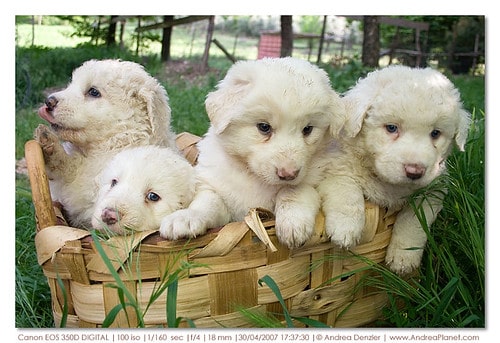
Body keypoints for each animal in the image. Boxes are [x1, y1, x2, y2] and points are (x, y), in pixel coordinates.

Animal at [34, 60, 177, 230]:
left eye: (93, 92)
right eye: (71, 83)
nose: (48, 101)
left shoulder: (89, 195)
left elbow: (72, 172)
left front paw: (51, 148)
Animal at [158, 57, 346, 249]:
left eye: (308, 129)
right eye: (264, 127)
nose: (288, 174)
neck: (254, 178)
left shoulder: (314, 179)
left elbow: (294, 191)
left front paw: (292, 224)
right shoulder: (216, 189)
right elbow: (208, 203)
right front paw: (185, 218)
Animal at [318, 63, 470, 274]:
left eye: (435, 133)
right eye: (391, 128)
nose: (415, 171)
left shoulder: (433, 190)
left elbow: (414, 221)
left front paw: (403, 258)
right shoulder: (335, 168)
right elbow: (347, 192)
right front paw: (345, 229)